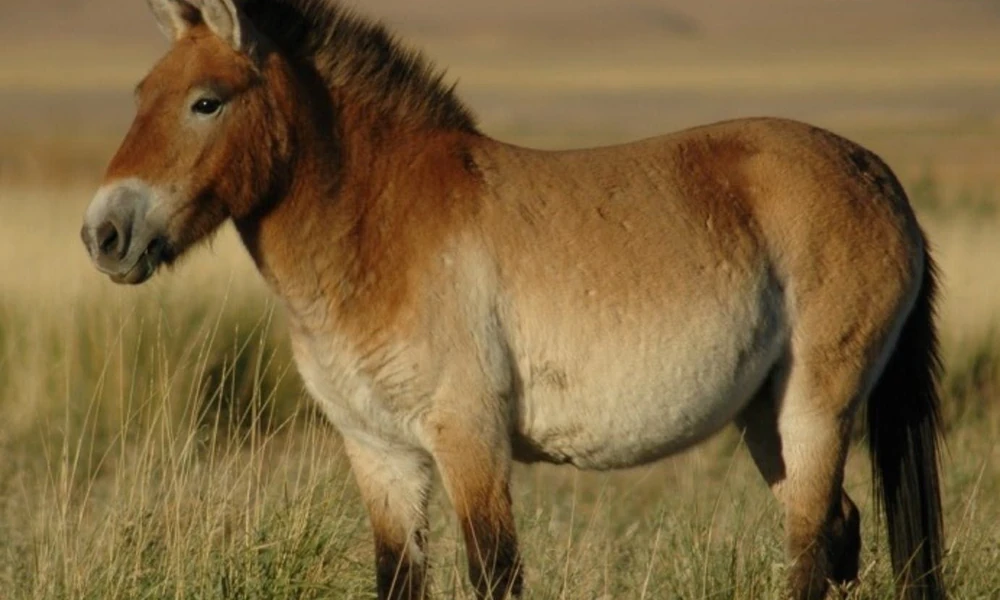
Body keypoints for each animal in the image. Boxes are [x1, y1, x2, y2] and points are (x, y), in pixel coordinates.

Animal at [80, 1, 945, 599]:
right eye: (140, 93)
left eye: (206, 101)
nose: (104, 234)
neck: (380, 227)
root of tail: (878, 177)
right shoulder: (379, 453)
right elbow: (398, 579)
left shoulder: (470, 440)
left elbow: (495, 573)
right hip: (766, 419)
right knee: (837, 536)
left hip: (816, 409)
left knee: (811, 553)